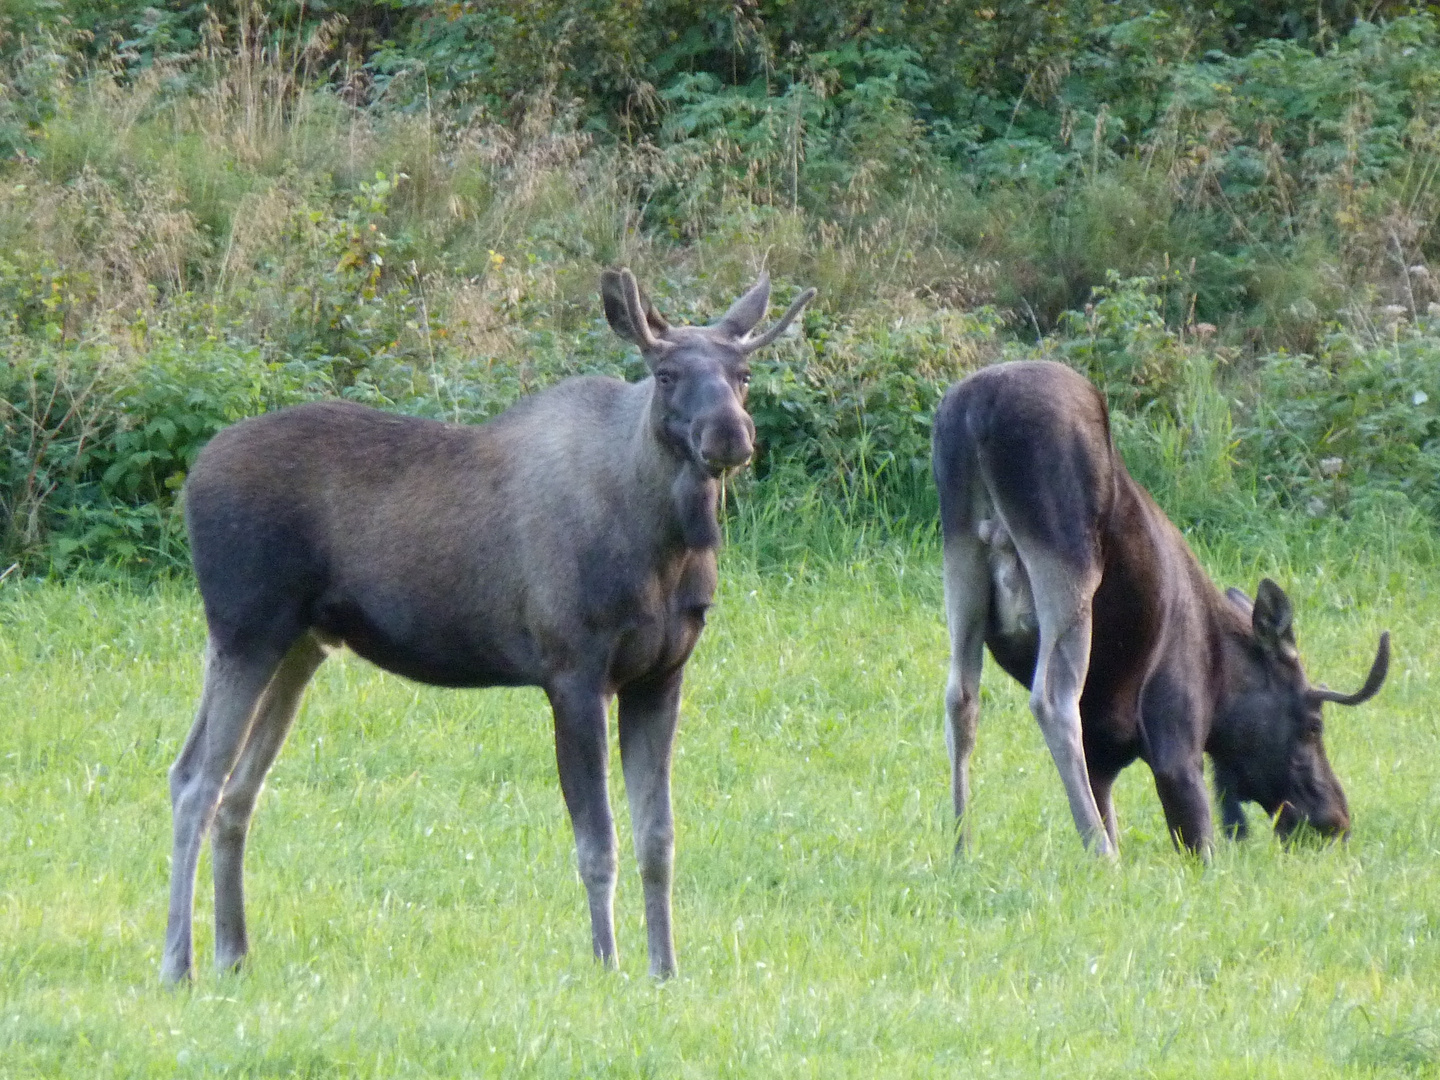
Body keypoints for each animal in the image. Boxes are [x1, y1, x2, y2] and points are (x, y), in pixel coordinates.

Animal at [163, 269, 817, 979]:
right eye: (665, 373)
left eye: (744, 373)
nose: (730, 434)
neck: (667, 548)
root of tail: (192, 477)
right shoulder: (573, 672)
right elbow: (598, 842)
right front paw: (606, 964)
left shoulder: (662, 675)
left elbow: (658, 840)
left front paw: (665, 970)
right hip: (245, 630)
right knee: (195, 780)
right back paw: (179, 963)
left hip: (299, 646)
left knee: (237, 790)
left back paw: (233, 952)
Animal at [927, 364, 1388, 864]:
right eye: (1313, 724)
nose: (1334, 819)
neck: (1223, 678)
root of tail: (977, 411)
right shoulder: (1176, 734)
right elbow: (1197, 836)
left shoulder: (1106, 751)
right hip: (1068, 562)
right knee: (1051, 699)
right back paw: (1100, 857)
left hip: (959, 556)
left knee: (961, 698)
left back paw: (961, 850)